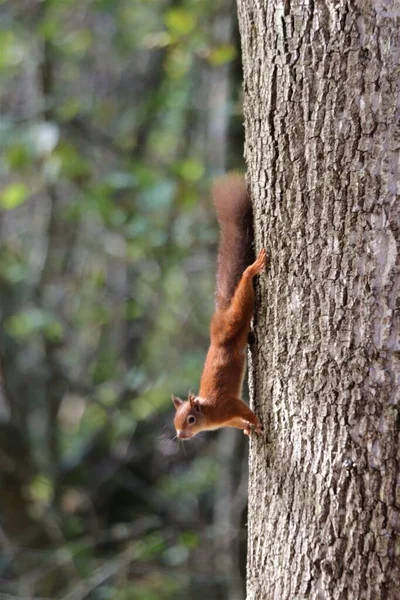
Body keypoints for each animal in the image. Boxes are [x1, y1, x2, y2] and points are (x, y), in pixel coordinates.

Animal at [172, 173, 266, 440]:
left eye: (191, 419)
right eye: (175, 421)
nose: (181, 436)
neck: (209, 414)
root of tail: (220, 320)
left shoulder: (227, 405)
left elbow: (244, 409)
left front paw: (256, 421)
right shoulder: (227, 418)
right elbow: (237, 421)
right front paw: (247, 428)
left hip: (235, 318)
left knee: (243, 298)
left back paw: (250, 271)